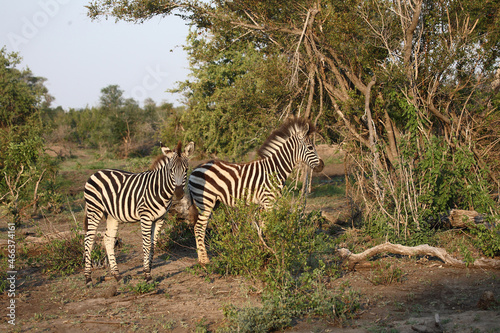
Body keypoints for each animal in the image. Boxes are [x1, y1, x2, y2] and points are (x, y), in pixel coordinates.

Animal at [83, 141, 194, 284]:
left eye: (186, 169)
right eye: (171, 170)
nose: (179, 194)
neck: (159, 189)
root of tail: (96, 172)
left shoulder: (159, 219)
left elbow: (153, 244)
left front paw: (149, 270)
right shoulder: (145, 217)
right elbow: (146, 244)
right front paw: (147, 274)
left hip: (112, 215)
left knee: (108, 239)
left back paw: (117, 275)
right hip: (94, 209)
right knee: (88, 240)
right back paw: (88, 278)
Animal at [188, 116, 324, 264]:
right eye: (310, 148)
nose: (322, 166)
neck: (274, 170)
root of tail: (196, 168)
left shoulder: (264, 203)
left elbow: (262, 228)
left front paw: (265, 252)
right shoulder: (269, 201)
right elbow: (269, 227)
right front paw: (274, 253)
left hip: (213, 202)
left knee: (198, 227)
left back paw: (201, 258)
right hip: (205, 202)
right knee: (199, 228)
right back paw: (204, 260)